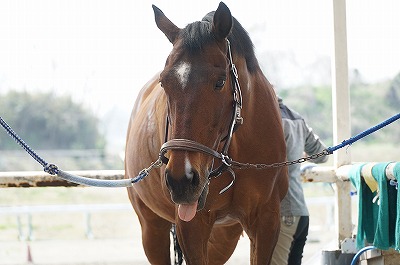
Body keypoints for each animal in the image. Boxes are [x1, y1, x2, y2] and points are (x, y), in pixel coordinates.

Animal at [125, 2, 288, 264]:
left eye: (220, 82)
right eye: (164, 83)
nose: (181, 179)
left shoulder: (266, 220)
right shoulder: (192, 224)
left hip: (225, 235)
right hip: (152, 228)